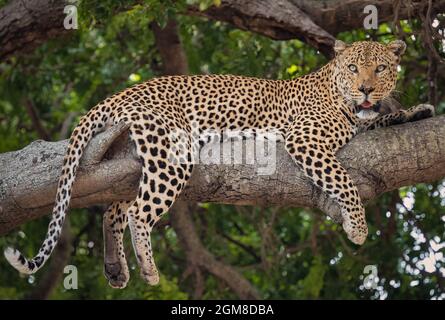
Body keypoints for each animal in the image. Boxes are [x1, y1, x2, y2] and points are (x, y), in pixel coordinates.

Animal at [3, 39, 434, 288]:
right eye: (353, 68)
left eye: (380, 68)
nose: (366, 89)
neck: (336, 91)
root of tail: (120, 93)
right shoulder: (304, 138)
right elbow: (343, 179)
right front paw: (358, 227)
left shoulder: (359, 121)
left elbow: (380, 119)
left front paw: (415, 111)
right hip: (171, 152)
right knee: (138, 213)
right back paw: (148, 269)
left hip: (132, 159)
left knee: (113, 209)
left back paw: (114, 267)